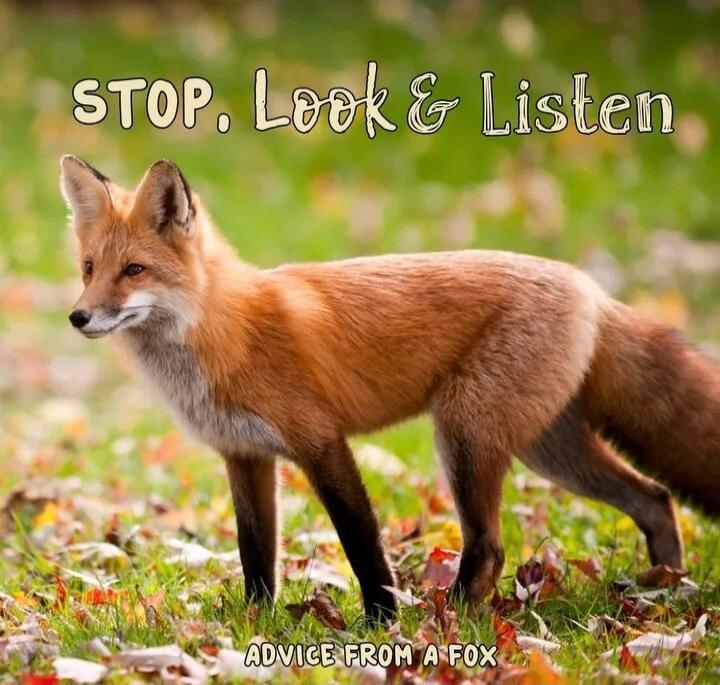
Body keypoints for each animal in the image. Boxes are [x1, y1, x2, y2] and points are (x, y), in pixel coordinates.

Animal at [60, 154, 720, 621]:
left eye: (134, 271)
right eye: (90, 269)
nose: (79, 317)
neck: (224, 329)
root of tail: (588, 285)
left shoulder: (321, 441)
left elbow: (361, 543)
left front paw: (380, 621)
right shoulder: (244, 455)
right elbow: (256, 554)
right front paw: (255, 621)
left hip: (465, 435)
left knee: (490, 546)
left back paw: (449, 620)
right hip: (548, 450)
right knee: (655, 498)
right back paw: (663, 589)